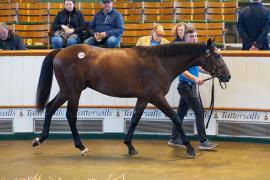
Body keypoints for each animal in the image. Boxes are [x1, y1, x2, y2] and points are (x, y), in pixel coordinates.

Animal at [31, 39, 230, 158]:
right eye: (217, 55)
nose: (227, 76)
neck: (159, 62)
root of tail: (61, 51)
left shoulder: (144, 97)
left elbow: (135, 119)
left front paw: (129, 146)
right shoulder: (156, 97)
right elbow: (176, 118)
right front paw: (189, 148)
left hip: (66, 90)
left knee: (50, 108)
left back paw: (39, 139)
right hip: (73, 91)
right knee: (70, 116)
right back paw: (80, 146)